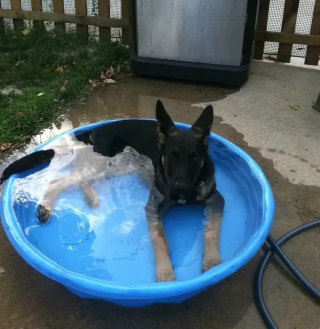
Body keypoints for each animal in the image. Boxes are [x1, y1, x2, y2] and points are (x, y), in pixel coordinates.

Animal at [1, 100, 224, 282]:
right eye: (171, 156)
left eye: (194, 158)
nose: (179, 190)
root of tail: (94, 133)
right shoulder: (152, 206)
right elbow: (160, 240)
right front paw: (165, 272)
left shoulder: (216, 200)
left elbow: (212, 230)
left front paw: (212, 261)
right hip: (106, 162)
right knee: (58, 181)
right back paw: (46, 208)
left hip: (116, 167)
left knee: (82, 181)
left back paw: (90, 198)